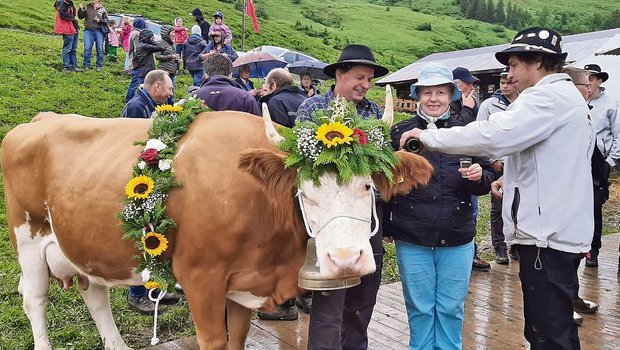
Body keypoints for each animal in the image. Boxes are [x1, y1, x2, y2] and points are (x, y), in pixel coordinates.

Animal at [1, 98, 432, 348]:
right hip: (28, 236)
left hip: (83, 244)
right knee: (34, 299)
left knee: (94, 294)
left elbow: (236, 339)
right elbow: (214, 341)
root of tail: (39, 119)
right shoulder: (200, 279)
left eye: (367, 186)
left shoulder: (244, 284)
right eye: (304, 192)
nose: (345, 260)